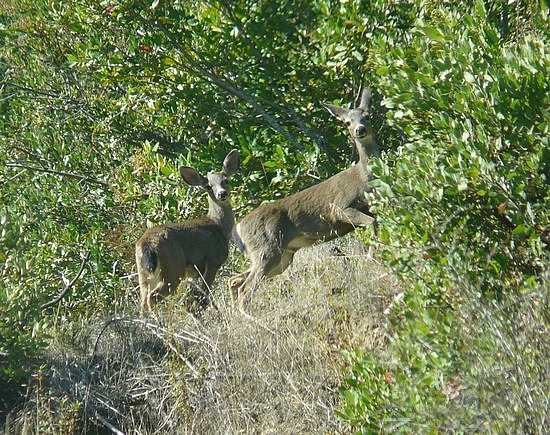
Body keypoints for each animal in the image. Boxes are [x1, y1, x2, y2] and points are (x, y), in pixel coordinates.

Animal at [136, 148, 239, 316]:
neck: (219, 227)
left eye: (225, 181)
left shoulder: (192, 272)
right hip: (172, 268)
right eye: (208, 186)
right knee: (153, 297)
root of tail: (146, 243)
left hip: (143, 273)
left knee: (143, 300)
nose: (222, 194)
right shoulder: (213, 260)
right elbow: (204, 294)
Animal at [231, 87, 382, 306]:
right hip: (267, 248)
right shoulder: (340, 206)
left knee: (235, 280)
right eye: (347, 122)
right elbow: (371, 224)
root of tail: (239, 227)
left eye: (367, 116)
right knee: (245, 288)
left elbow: (374, 227)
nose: (359, 130)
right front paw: (371, 259)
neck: (364, 178)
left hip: (283, 255)